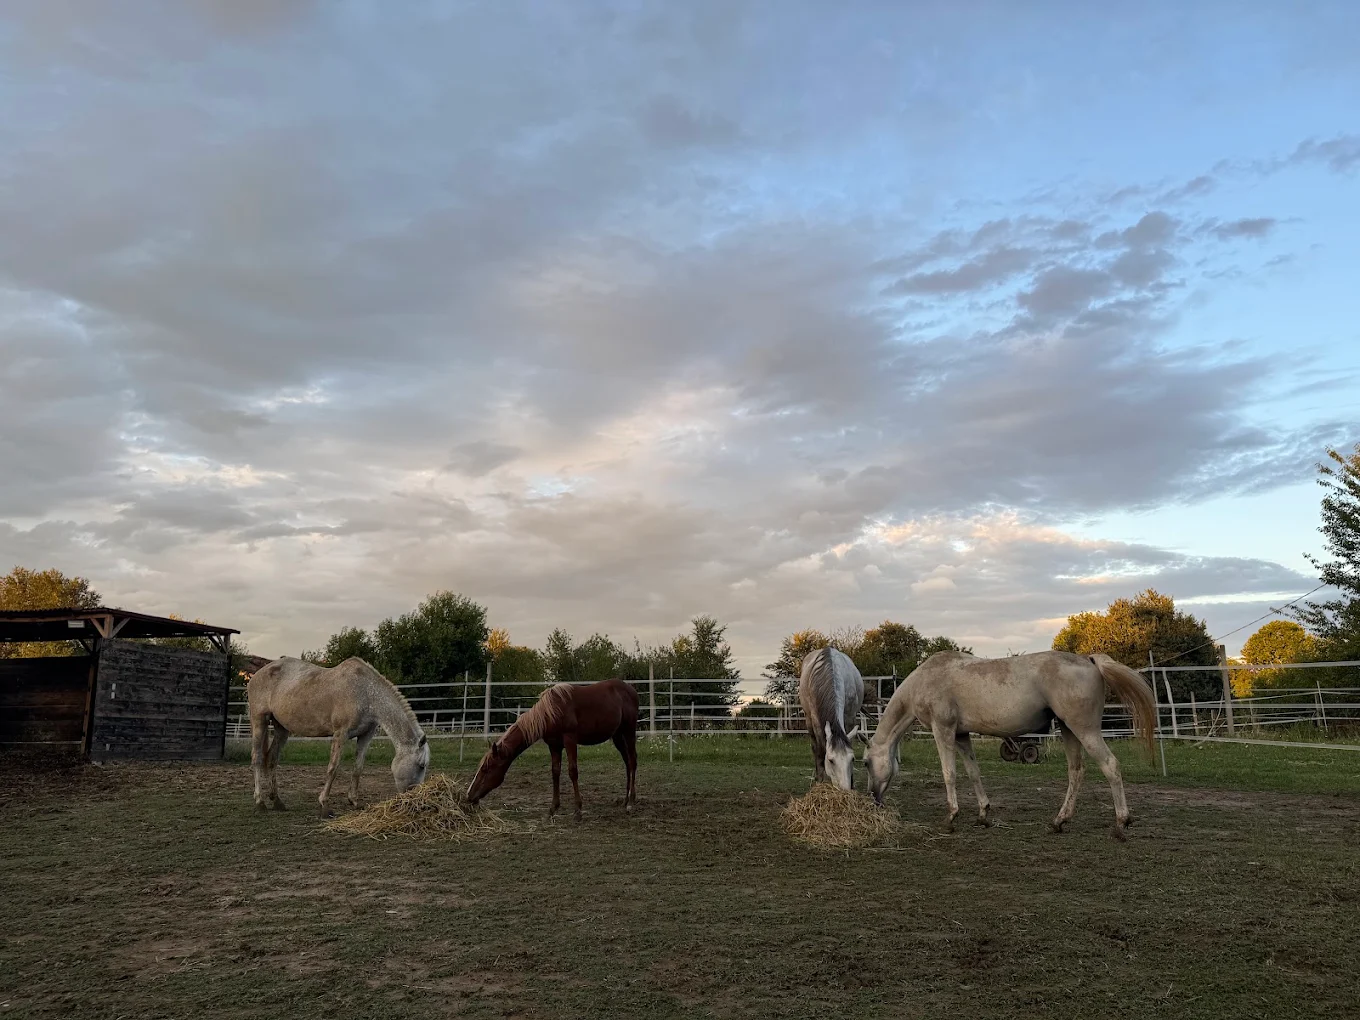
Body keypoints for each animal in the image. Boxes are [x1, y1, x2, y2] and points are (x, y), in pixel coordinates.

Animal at [248, 656, 430, 816]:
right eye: (421, 765)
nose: (415, 796)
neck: (365, 692)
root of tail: (256, 676)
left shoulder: (366, 735)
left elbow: (358, 768)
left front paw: (354, 801)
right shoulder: (341, 734)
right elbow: (333, 768)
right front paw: (324, 805)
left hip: (282, 728)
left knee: (272, 758)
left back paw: (277, 801)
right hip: (259, 720)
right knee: (257, 758)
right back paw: (259, 802)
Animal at [465, 677, 638, 821]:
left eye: (486, 769)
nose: (469, 796)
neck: (551, 712)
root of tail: (631, 689)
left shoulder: (570, 740)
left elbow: (572, 771)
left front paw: (578, 810)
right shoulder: (554, 746)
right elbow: (555, 772)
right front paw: (552, 809)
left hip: (629, 731)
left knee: (632, 761)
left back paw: (631, 802)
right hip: (618, 735)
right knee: (627, 762)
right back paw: (625, 800)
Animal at [798, 646, 866, 790]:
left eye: (852, 759)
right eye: (831, 760)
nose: (845, 789)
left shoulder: (850, 717)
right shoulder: (816, 721)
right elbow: (820, 750)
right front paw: (820, 781)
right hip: (809, 721)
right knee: (815, 748)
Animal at [863, 650, 1156, 840]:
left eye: (865, 763)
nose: (873, 799)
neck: (926, 678)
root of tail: (1089, 661)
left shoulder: (943, 730)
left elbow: (950, 773)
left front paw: (951, 818)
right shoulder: (962, 735)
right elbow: (973, 773)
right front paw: (983, 814)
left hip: (1084, 730)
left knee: (1110, 766)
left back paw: (1121, 823)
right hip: (1069, 730)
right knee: (1076, 771)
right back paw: (1059, 821)